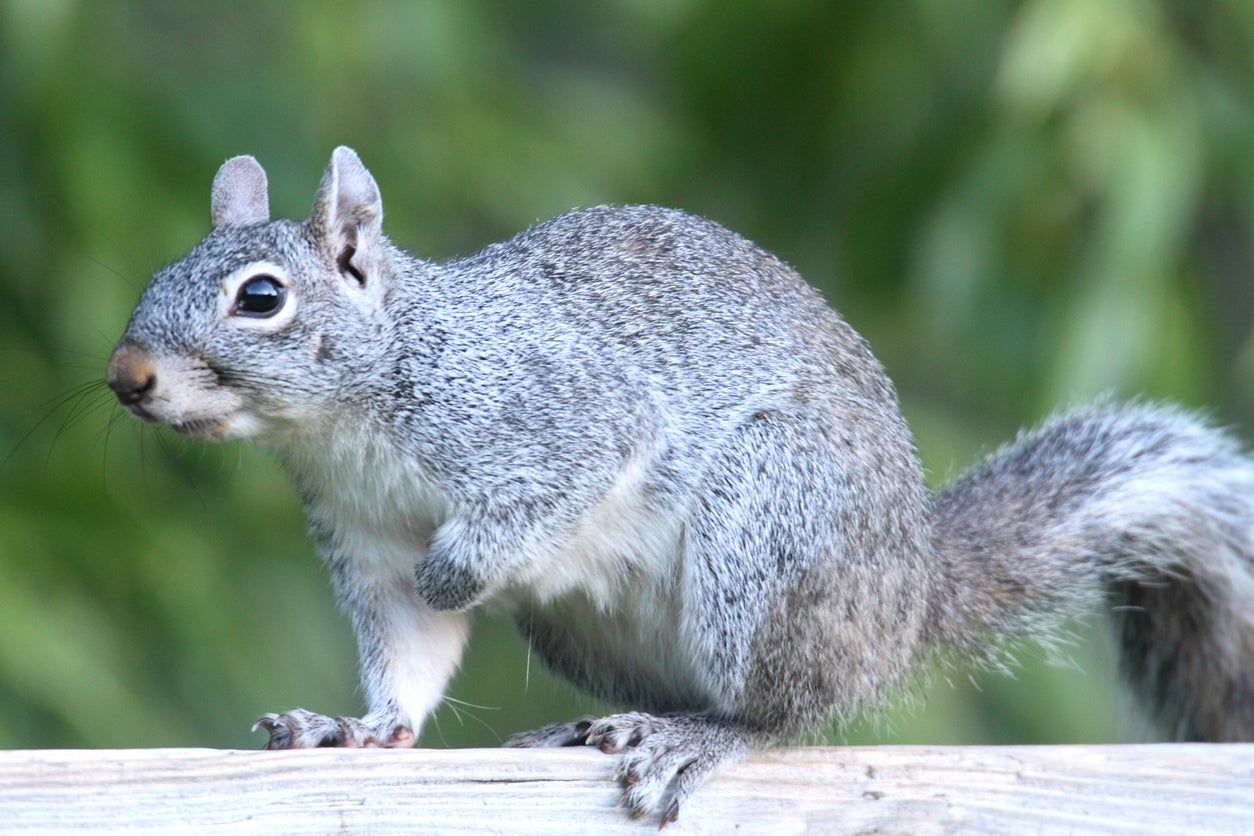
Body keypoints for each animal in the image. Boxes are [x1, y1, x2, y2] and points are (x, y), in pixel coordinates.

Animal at [107, 147, 1254, 825]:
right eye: (154, 276)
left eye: (262, 297)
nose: (126, 375)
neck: (347, 421)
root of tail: (907, 598)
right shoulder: (362, 539)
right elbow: (407, 652)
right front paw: (355, 729)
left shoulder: (562, 414)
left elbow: (530, 506)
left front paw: (459, 570)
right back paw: (603, 726)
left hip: (771, 522)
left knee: (789, 710)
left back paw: (702, 735)